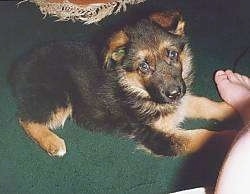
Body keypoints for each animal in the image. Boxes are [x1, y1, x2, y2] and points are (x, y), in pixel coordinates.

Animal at [9, 10, 236, 157]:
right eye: (143, 67)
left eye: (172, 54)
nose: (173, 93)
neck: (136, 89)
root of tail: (20, 65)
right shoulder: (154, 135)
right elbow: (202, 137)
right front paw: (233, 138)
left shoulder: (180, 100)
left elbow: (205, 103)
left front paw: (233, 108)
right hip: (59, 98)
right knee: (25, 119)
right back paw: (52, 143)